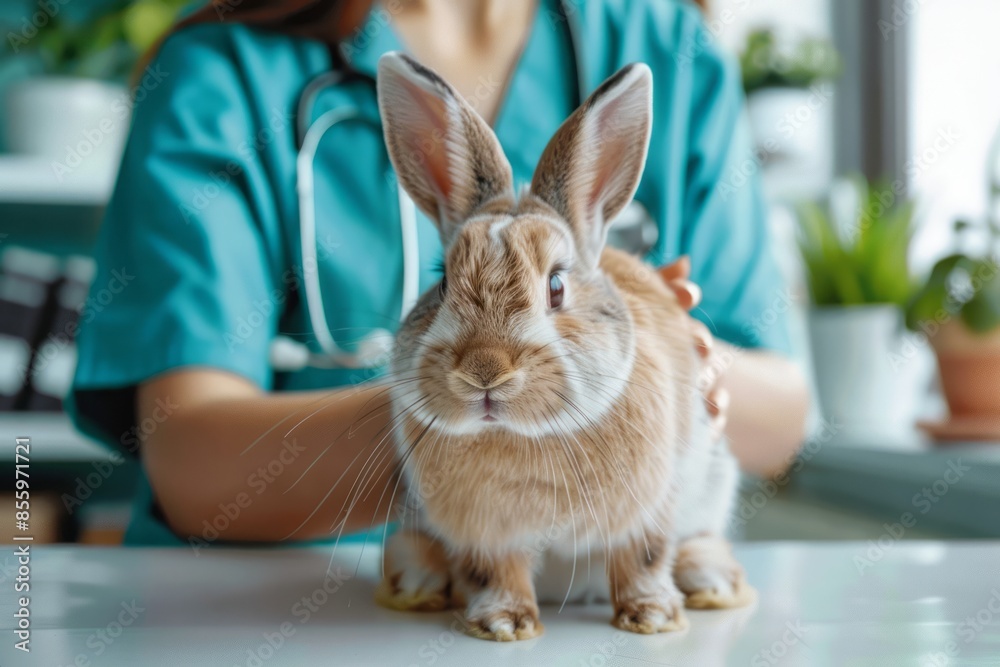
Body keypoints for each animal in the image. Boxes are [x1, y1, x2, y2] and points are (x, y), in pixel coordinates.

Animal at [372, 51, 755, 642]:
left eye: (556, 286)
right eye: (441, 284)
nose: (484, 371)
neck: (526, 435)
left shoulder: (649, 510)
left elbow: (642, 559)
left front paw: (652, 617)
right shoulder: (486, 534)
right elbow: (496, 572)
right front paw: (504, 624)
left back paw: (711, 582)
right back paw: (418, 584)